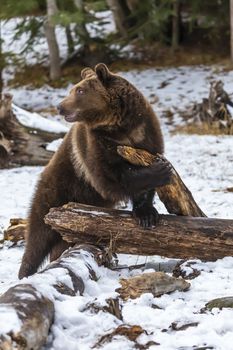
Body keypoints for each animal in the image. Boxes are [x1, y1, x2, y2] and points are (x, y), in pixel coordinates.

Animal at [18, 64, 172, 280]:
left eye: (80, 90)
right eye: (73, 89)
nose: (60, 106)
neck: (120, 127)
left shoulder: (146, 133)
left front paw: (147, 215)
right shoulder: (95, 144)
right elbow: (110, 177)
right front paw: (160, 171)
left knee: (60, 240)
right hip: (56, 190)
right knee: (37, 237)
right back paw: (25, 272)